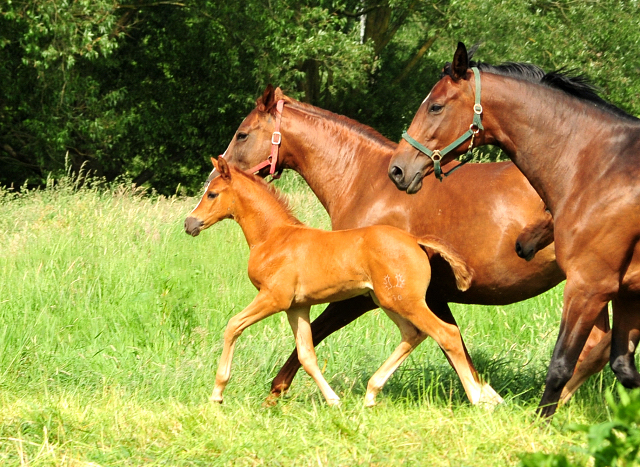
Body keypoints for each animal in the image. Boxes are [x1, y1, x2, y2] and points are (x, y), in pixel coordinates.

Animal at [184, 159, 500, 408]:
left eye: (212, 194)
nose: (189, 224)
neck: (274, 236)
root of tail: (415, 240)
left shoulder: (273, 298)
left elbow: (233, 326)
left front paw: (217, 393)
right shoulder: (296, 307)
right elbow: (307, 355)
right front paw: (333, 400)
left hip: (404, 301)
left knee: (447, 334)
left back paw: (477, 398)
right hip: (388, 302)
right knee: (414, 334)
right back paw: (371, 393)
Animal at [384, 42, 640, 418]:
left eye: (435, 106)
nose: (398, 170)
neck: (600, 168)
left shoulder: (588, 286)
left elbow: (561, 365)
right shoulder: (625, 294)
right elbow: (624, 368)